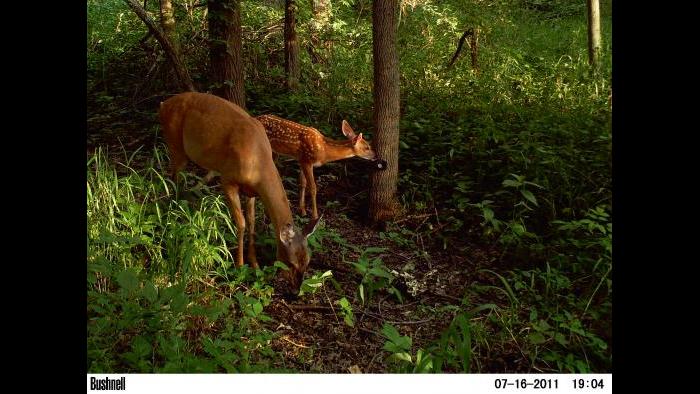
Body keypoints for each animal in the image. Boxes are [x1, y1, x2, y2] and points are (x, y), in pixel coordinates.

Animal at [159, 91, 320, 290]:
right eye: (291, 263)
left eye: (308, 262)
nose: (297, 290)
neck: (258, 162)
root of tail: (163, 104)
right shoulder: (228, 180)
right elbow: (241, 223)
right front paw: (240, 265)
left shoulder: (252, 191)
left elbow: (251, 222)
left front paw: (255, 263)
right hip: (175, 143)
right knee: (173, 179)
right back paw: (172, 218)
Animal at [256, 115, 388, 220]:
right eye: (367, 147)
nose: (376, 155)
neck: (324, 150)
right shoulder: (307, 161)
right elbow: (313, 187)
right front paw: (314, 215)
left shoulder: (302, 160)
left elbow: (302, 183)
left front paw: (302, 210)